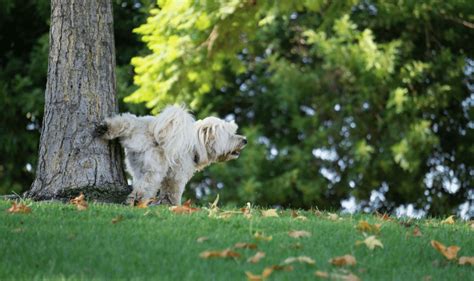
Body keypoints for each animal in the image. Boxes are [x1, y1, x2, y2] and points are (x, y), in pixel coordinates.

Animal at [94, 105, 246, 203]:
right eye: (231, 135)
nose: (245, 140)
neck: (195, 144)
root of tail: (148, 133)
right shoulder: (177, 175)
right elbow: (172, 192)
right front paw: (174, 206)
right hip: (155, 169)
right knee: (144, 188)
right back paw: (139, 202)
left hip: (134, 137)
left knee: (124, 121)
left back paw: (105, 128)